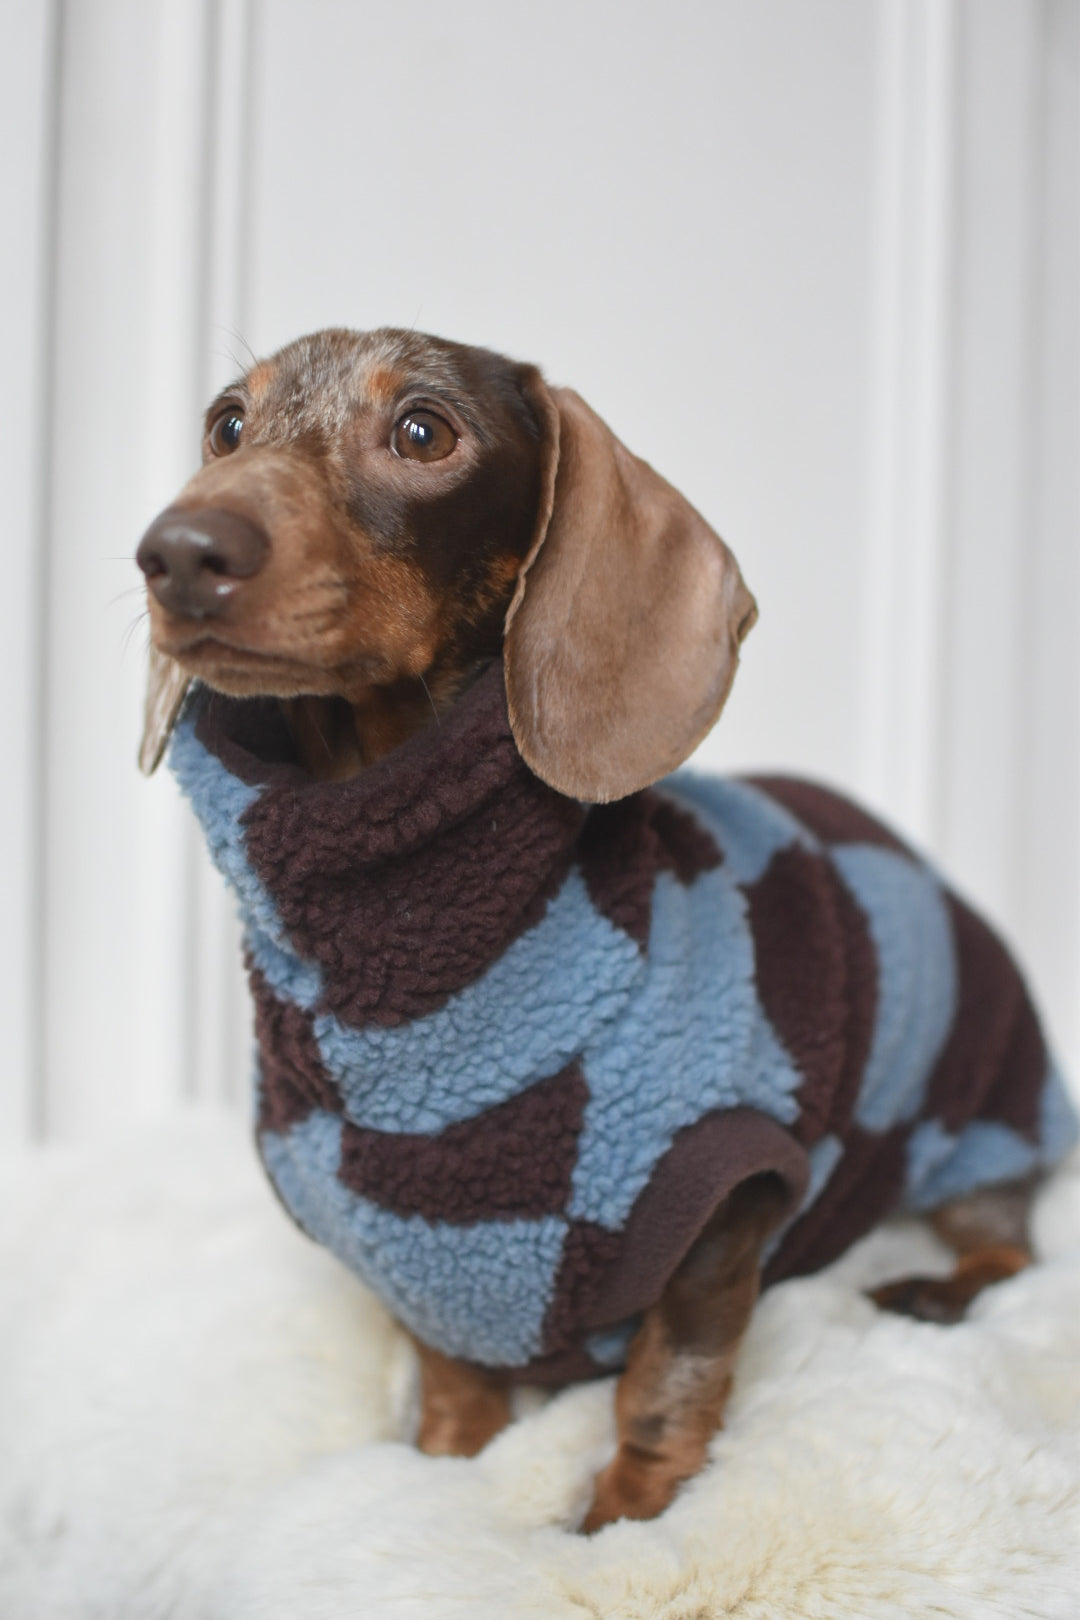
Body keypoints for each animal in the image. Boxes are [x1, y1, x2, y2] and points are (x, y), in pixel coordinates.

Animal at [136, 327, 1077, 1531]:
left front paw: (618, 1525)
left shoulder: (728, 1197)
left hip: (976, 1112)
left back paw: (930, 1291)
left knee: (1011, 1253)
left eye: (424, 432)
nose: (176, 552)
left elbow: (665, 1387)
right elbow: (451, 1378)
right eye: (226, 425)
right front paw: (446, 1469)